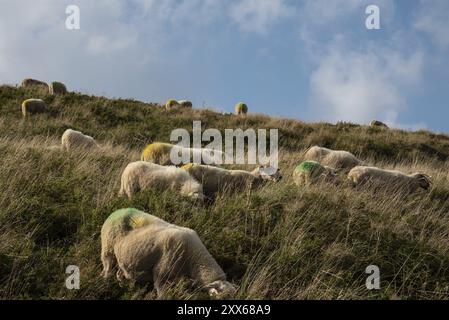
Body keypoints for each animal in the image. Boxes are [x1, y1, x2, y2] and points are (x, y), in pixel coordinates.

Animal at [101, 208, 234, 298]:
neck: (194, 260)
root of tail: (117, 211)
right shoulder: (161, 274)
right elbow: (162, 295)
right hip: (108, 250)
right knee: (107, 270)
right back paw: (107, 285)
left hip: (124, 258)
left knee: (119, 273)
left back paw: (123, 286)